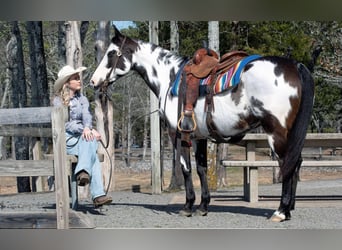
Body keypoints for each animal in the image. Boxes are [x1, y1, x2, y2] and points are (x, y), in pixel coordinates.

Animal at [91, 26, 316, 222]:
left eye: (111, 53)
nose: (93, 81)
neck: (169, 77)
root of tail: (294, 65)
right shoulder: (199, 136)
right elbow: (201, 168)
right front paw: (203, 206)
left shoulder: (178, 135)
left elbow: (186, 168)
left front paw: (188, 206)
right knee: (296, 163)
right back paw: (287, 210)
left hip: (276, 133)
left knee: (287, 164)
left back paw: (280, 211)